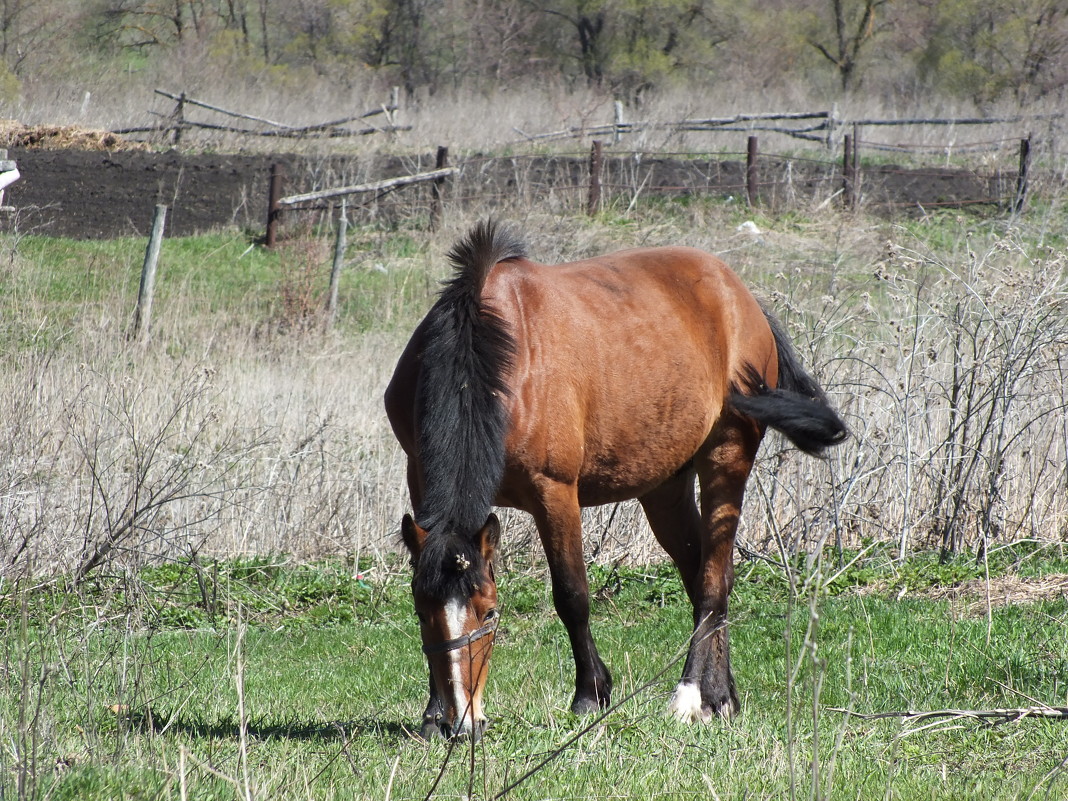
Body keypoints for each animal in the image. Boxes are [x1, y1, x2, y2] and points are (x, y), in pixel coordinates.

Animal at [384, 223, 841, 743]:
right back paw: (720, 696)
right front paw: (430, 713)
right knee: (705, 574)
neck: (494, 357)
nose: (462, 722)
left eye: (491, 610)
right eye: (422, 611)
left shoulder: (554, 493)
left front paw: (590, 694)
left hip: (728, 457)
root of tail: (742, 297)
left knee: (712, 581)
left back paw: (689, 696)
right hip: (665, 487)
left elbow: (572, 595)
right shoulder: (418, 478)